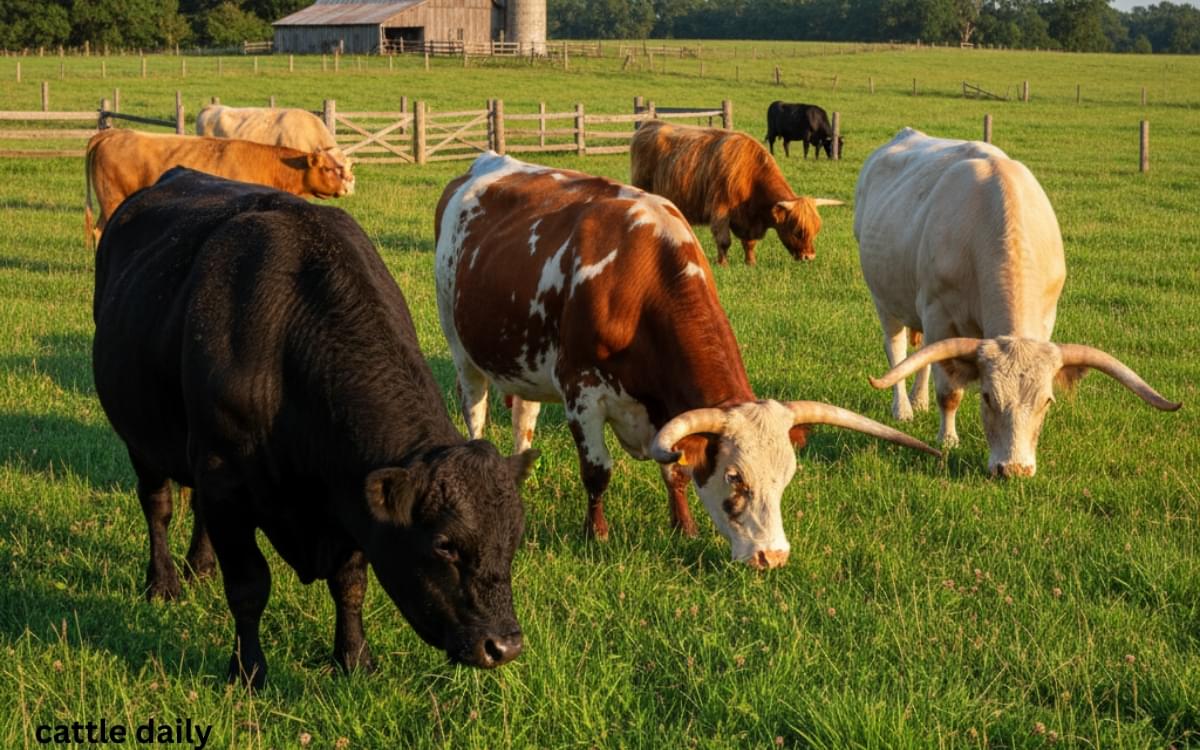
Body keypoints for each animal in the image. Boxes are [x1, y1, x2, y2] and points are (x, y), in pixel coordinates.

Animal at [93, 168, 537, 687]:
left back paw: (199, 567)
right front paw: (248, 670)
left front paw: (354, 658)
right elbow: (249, 585)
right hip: (141, 436)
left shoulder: (346, 491)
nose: (503, 645)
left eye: (514, 537)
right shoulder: (225, 477)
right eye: (444, 545)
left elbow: (350, 584)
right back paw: (163, 582)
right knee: (157, 506)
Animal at [435, 152, 938, 569]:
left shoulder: (665, 406)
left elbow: (675, 470)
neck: (637, 281)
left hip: (525, 365)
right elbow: (598, 472)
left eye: (787, 477)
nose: (772, 557)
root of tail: (481, 164)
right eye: (735, 478)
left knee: (524, 417)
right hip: (462, 351)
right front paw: (596, 535)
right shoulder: (582, 393)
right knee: (475, 413)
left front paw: (685, 528)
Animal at [631, 120, 843, 266]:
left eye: (816, 230)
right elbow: (724, 241)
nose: (810, 257)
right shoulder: (720, 209)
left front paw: (751, 263)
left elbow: (749, 243)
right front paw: (722, 264)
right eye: (798, 230)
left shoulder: (749, 221)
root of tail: (649, 124)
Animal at [855, 128, 1180, 478]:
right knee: (897, 348)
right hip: (885, 300)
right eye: (987, 397)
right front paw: (948, 440)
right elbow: (949, 391)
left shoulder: (1046, 316)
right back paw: (903, 408)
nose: (1013, 469)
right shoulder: (938, 315)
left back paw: (918, 401)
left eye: (1047, 401)